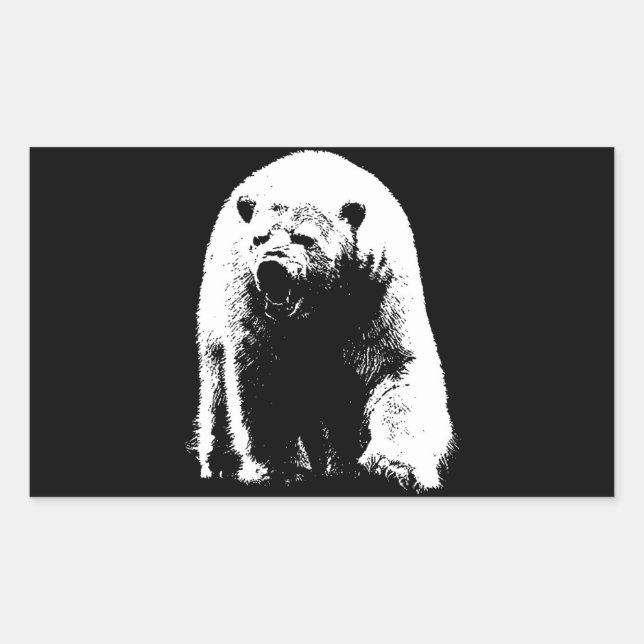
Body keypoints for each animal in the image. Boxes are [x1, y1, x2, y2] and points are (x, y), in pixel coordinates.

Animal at [194, 150, 454, 491]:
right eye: (259, 239)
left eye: (305, 238)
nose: (271, 267)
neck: (319, 308)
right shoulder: (252, 305)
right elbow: (263, 378)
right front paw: (283, 471)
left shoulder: (376, 292)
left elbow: (396, 370)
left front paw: (393, 469)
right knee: (216, 388)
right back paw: (220, 465)